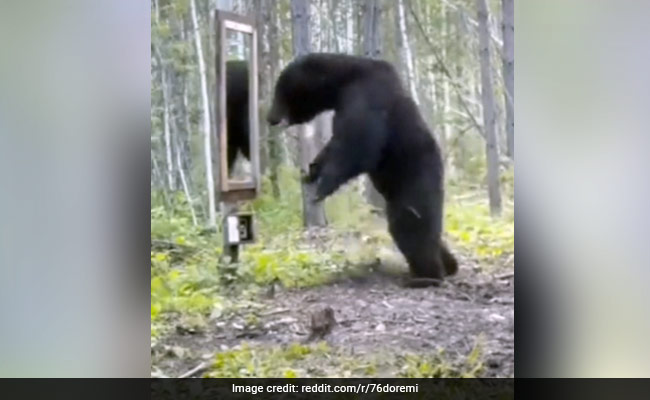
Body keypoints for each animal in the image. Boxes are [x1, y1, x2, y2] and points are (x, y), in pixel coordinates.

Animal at [267, 53, 458, 285]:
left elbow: (358, 144)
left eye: (279, 91)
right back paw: (448, 265)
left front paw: (322, 187)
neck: (343, 80)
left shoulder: (367, 94)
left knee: (410, 224)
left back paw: (426, 277)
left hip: (415, 179)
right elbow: (334, 144)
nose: (269, 117)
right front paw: (310, 172)